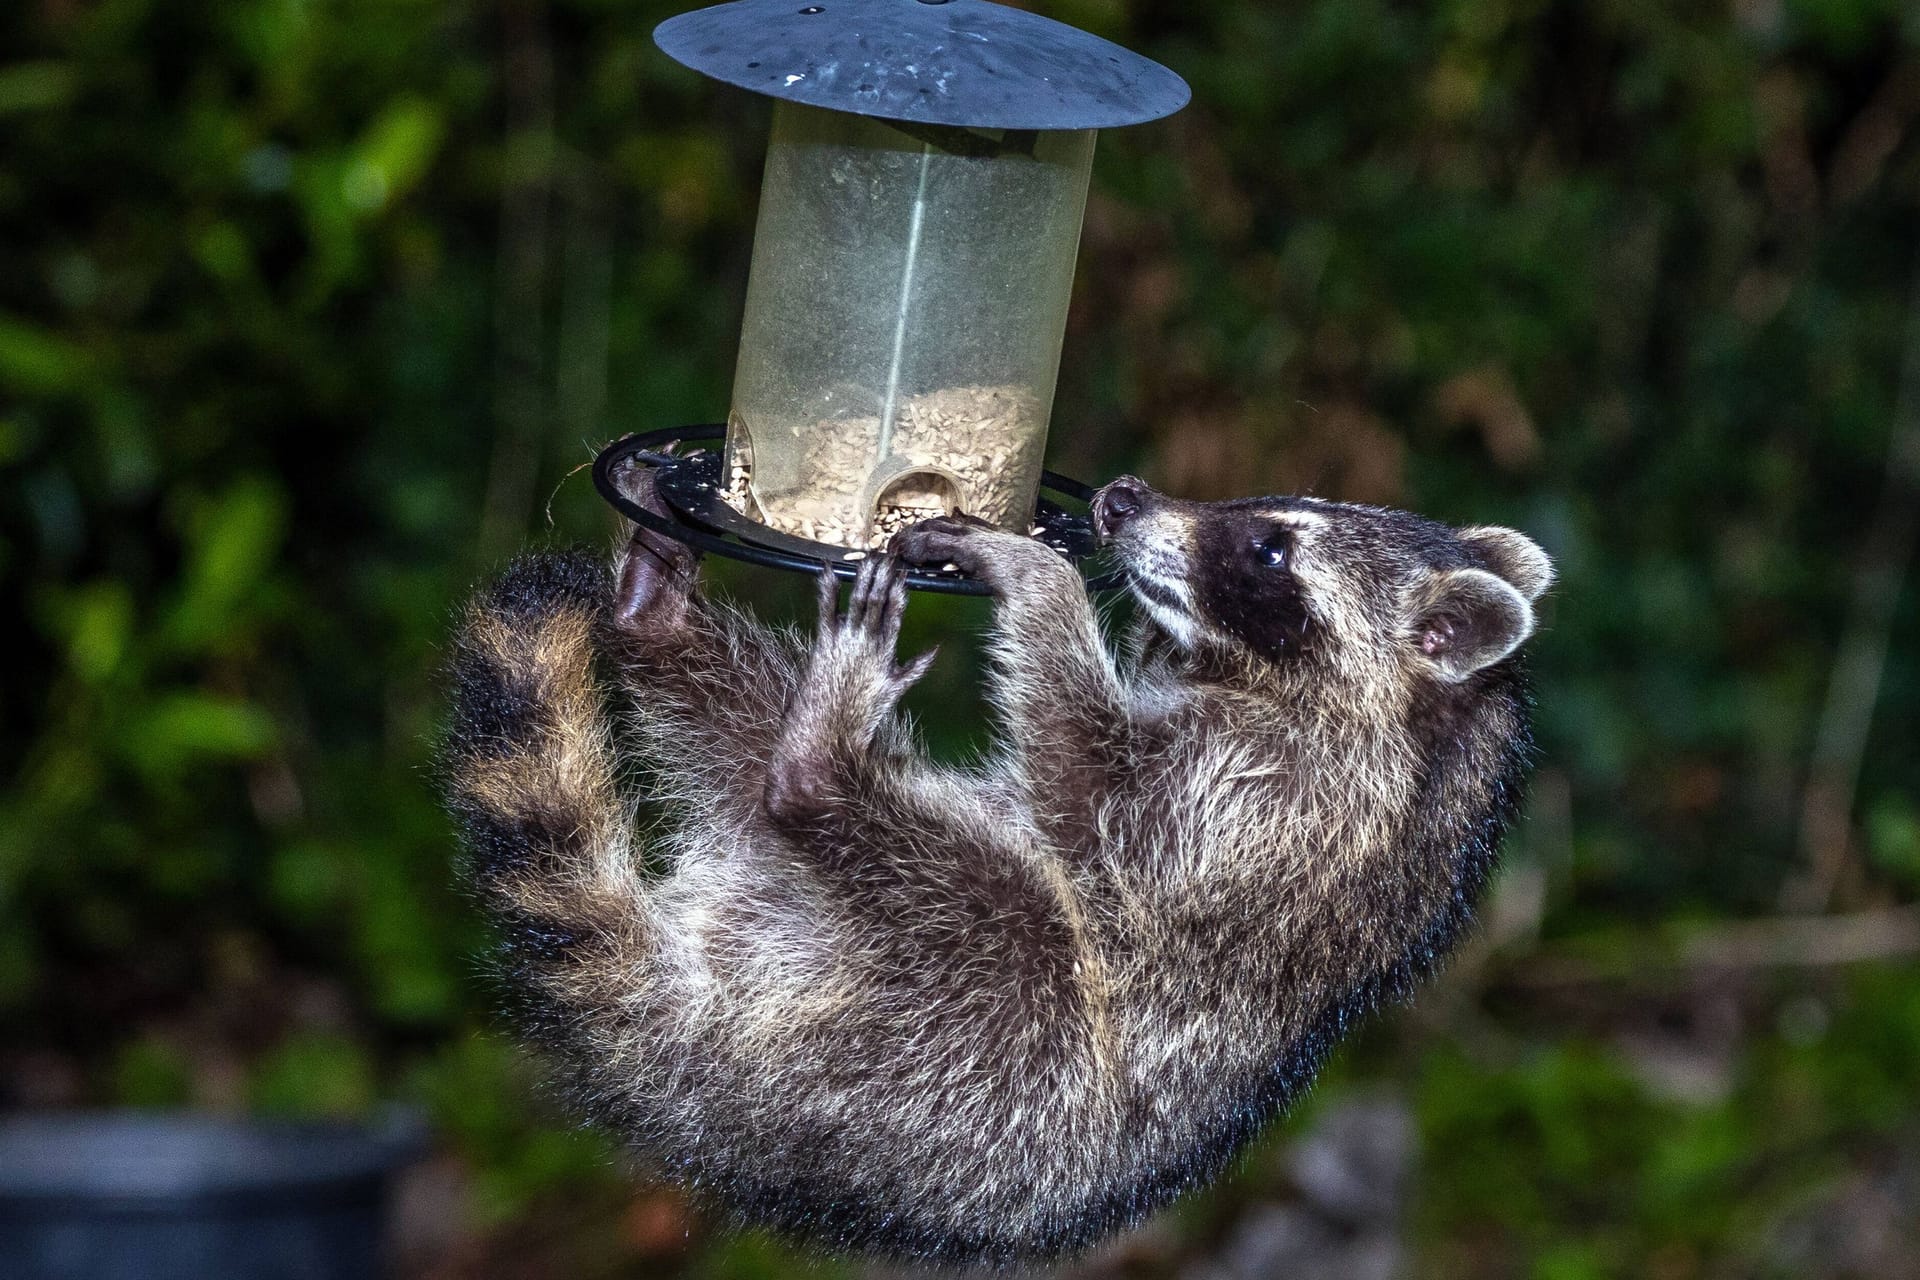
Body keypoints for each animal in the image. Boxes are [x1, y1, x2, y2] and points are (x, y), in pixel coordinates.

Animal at [445, 468, 1543, 1258]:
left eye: (1272, 547)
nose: (1123, 498)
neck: (1438, 732)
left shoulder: (1275, 811)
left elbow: (1093, 799)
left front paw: (1040, 577)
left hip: (980, 1044)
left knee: (981, 899)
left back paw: (817, 767)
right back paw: (657, 622)